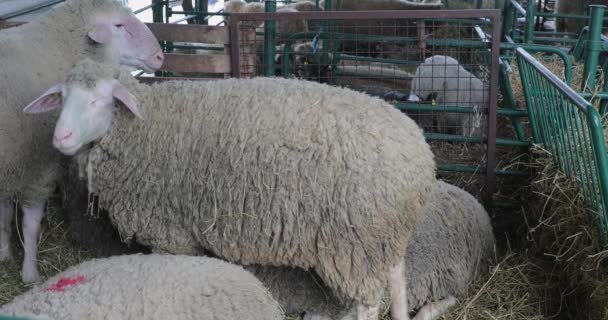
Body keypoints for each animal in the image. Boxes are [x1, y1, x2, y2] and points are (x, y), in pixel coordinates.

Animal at [0, 0, 164, 284]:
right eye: (118, 24)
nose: (159, 57)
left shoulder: (14, 167)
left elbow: (5, 213)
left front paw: (4, 253)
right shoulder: (37, 166)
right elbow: (30, 225)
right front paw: (30, 273)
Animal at [26, 58, 436, 320]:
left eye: (99, 100)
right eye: (62, 98)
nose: (60, 138)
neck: (143, 124)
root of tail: (420, 154)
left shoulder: (171, 234)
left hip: (353, 242)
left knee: (368, 303)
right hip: (382, 236)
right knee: (398, 281)